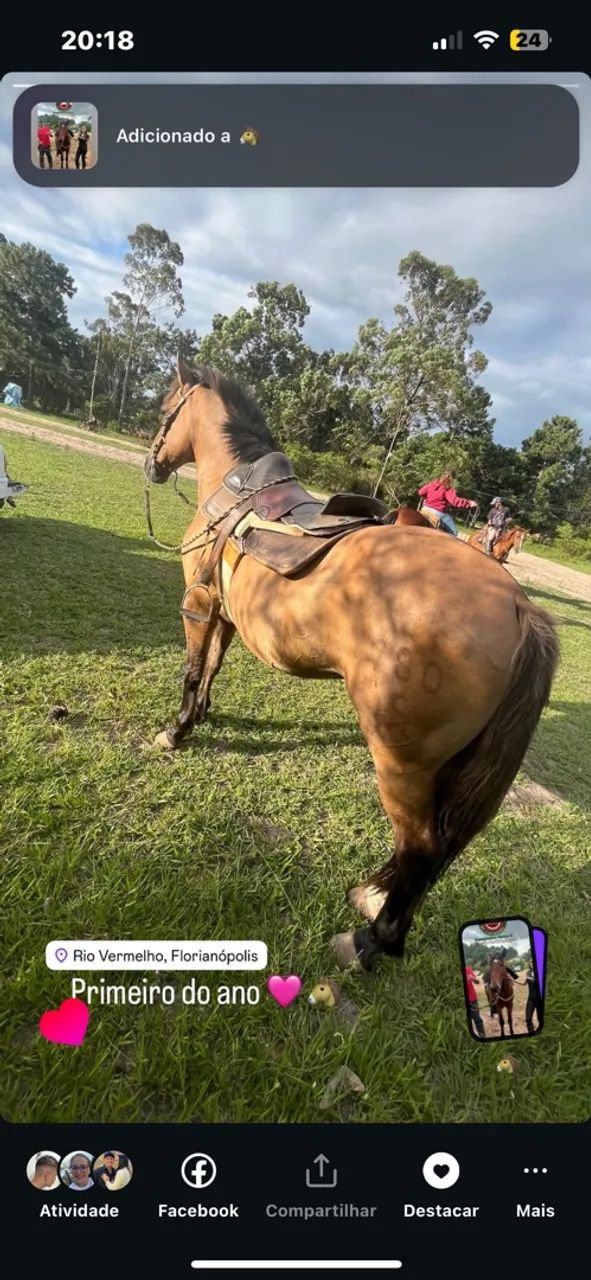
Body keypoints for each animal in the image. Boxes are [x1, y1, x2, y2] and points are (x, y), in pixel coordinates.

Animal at [144, 359, 559, 973]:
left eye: (164, 407)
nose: (152, 462)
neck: (235, 488)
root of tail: (519, 606)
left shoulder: (196, 605)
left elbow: (194, 668)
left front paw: (176, 730)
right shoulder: (224, 612)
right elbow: (214, 665)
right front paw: (202, 715)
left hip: (402, 761)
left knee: (422, 848)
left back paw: (370, 941)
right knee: (441, 850)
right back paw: (376, 905)